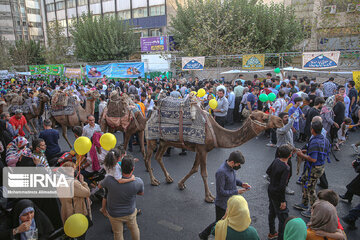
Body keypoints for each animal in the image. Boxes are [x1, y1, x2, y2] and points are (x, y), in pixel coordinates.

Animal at [143, 109, 284, 203]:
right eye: (264, 117)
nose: (281, 120)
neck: (216, 133)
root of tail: (149, 116)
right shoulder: (202, 150)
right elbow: (204, 173)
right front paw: (209, 197)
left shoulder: (200, 149)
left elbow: (194, 169)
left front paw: (180, 184)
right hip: (151, 139)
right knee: (147, 158)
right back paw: (154, 181)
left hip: (164, 142)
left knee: (158, 157)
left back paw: (168, 178)